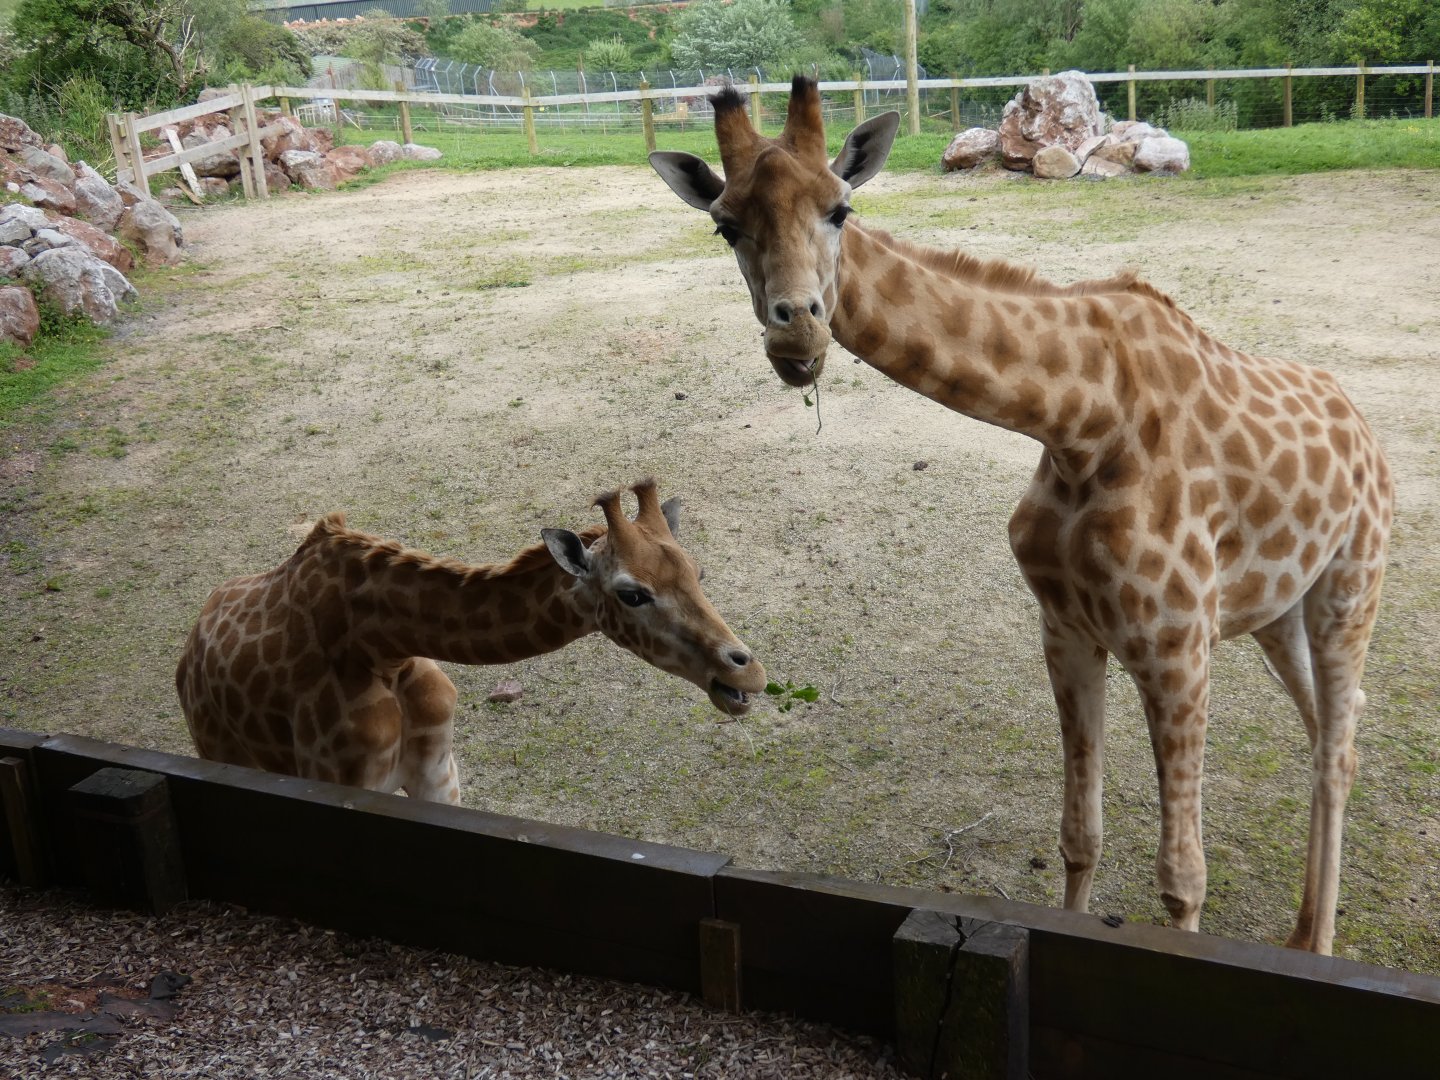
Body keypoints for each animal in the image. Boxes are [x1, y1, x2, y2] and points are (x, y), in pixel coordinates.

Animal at [176, 480, 767, 804]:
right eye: (632, 594)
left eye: (699, 572)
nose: (747, 674)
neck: (380, 648)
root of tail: (189, 652)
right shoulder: (343, 781)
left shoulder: (438, 772)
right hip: (226, 752)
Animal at [651, 77, 1393, 955]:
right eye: (725, 224)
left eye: (841, 209)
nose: (797, 332)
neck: (1081, 422)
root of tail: (1364, 428)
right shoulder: (1066, 628)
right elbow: (1081, 835)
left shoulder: (1179, 646)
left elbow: (1182, 878)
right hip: (1279, 607)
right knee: (1330, 730)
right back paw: (1303, 932)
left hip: (1351, 586)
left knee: (1339, 744)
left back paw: (1317, 947)